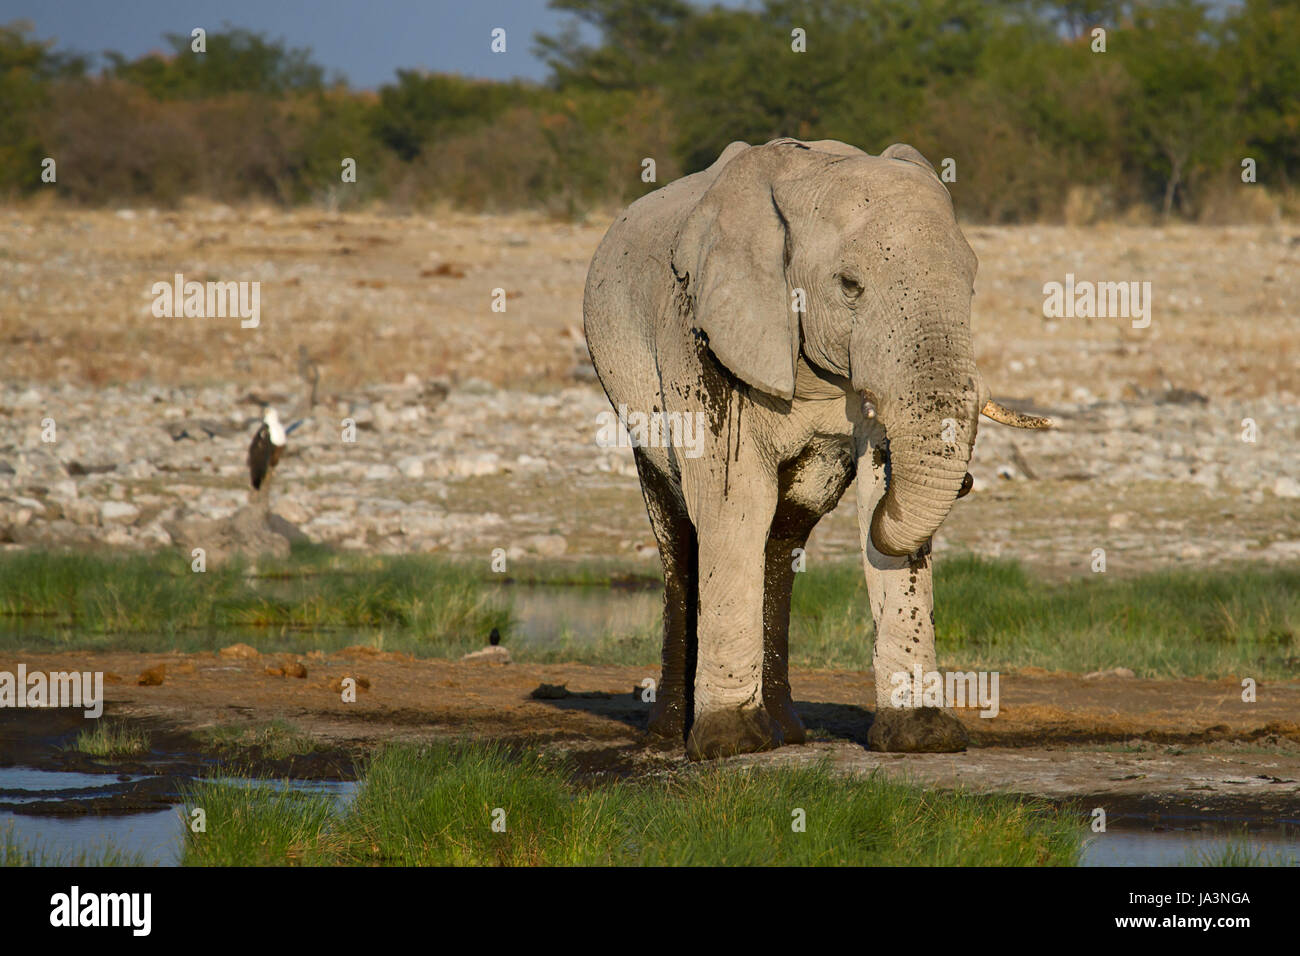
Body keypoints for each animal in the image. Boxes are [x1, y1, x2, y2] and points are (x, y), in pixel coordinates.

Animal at [585, 136, 1050, 764]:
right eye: (850, 285)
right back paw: (672, 734)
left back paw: (786, 731)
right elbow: (734, 502)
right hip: (634, 395)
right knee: (682, 533)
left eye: (973, 282)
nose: (971, 480)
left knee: (784, 536)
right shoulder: (704, 340)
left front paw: (923, 738)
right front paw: (729, 744)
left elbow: (872, 500)